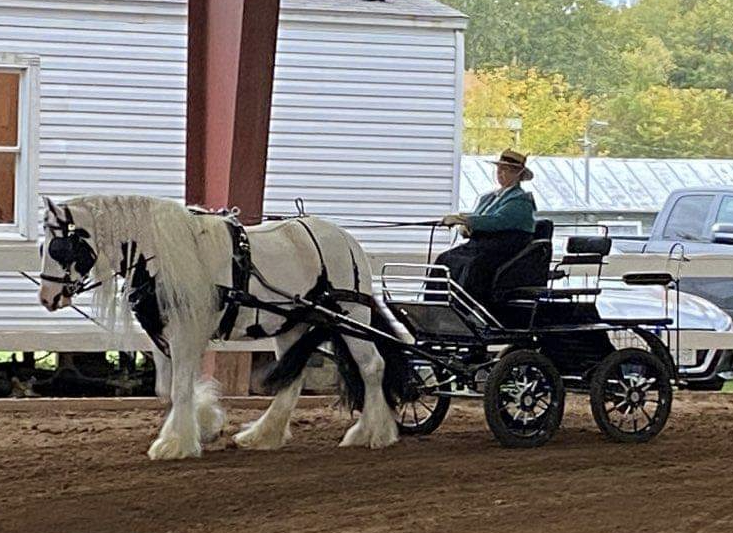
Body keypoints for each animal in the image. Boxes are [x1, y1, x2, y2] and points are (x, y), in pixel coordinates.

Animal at [38, 195, 404, 460]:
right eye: (42, 247)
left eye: (60, 248)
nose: (47, 298)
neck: (160, 259)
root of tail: (347, 239)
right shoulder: (161, 337)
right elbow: (166, 388)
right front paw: (204, 424)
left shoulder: (186, 334)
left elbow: (179, 388)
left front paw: (175, 444)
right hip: (293, 325)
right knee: (293, 377)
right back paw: (263, 435)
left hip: (352, 314)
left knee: (372, 366)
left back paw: (373, 433)